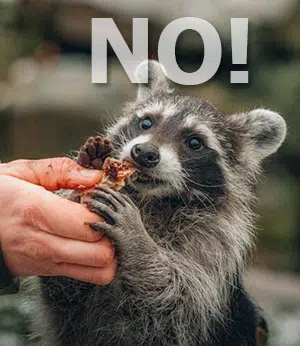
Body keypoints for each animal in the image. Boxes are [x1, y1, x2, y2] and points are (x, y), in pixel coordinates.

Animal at [35, 61, 286, 346]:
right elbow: (63, 286)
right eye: (146, 122)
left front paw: (137, 240)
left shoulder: (212, 252)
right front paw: (80, 186)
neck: (152, 201)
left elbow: (176, 303)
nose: (144, 153)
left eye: (195, 142)